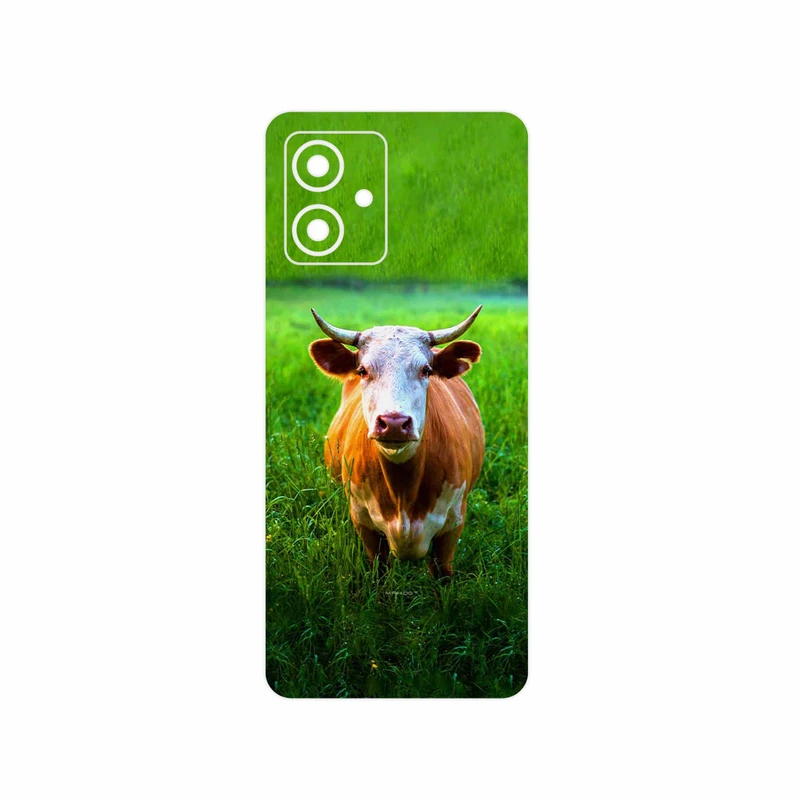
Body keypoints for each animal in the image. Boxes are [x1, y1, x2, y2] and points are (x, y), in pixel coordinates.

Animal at [308, 306, 485, 580]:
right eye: (363, 370)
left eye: (426, 370)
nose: (393, 422)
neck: (404, 491)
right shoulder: (364, 524)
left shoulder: (453, 525)